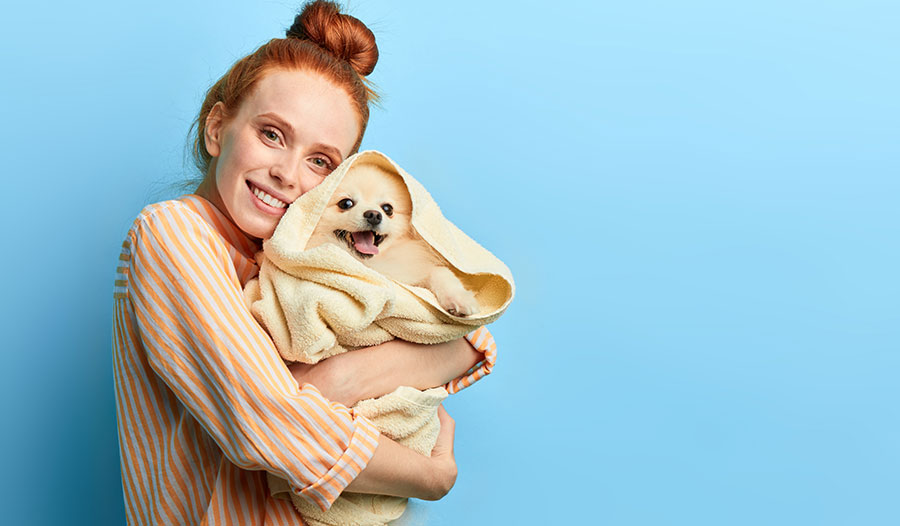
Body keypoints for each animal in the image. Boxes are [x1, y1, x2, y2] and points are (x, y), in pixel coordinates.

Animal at [306, 165, 482, 318]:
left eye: (387, 209)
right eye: (346, 203)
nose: (374, 215)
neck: (371, 265)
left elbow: (441, 271)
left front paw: (460, 298)